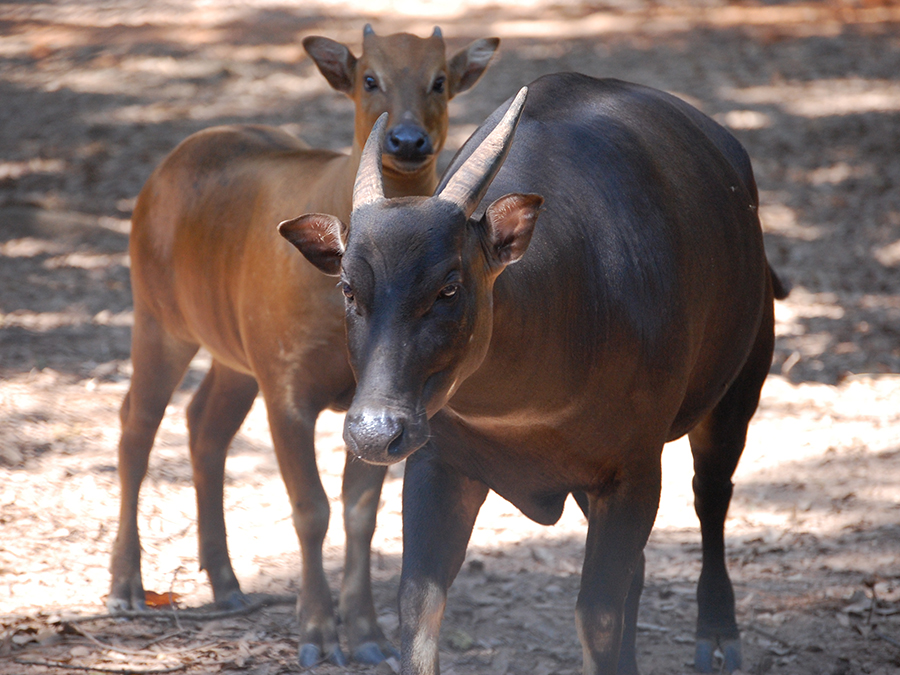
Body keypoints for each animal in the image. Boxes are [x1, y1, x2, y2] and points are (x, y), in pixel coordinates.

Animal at [108, 25, 496, 664]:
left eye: (439, 79)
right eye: (370, 77)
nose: (407, 139)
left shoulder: (376, 404)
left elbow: (360, 513)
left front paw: (366, 635)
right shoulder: (287, 390)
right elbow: (310, 509)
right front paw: (316, 635)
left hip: (235, 357)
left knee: (204, 426)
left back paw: (227, 582)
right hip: (159, 320)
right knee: (136, 427)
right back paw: (124, 586)